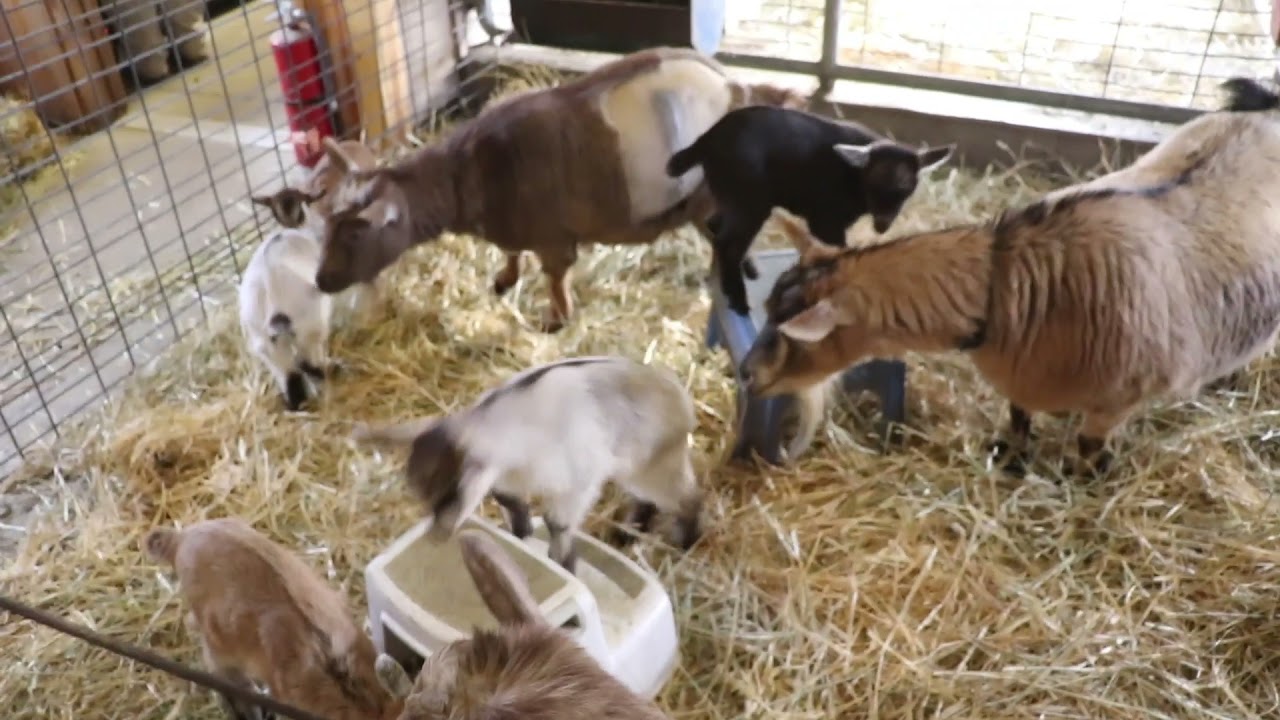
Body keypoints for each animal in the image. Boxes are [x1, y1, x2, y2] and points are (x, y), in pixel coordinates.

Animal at [311, 46, 807, 333]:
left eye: (356, 232)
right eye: (326, 226)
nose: (321, 281)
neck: (474, 172)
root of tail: (736, 85)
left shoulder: (553, 237)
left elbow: (555, 276)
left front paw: (558, 318)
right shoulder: (515, 229)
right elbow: (510, 253)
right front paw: (504, 279)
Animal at [349, 355, 704, 573]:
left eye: (451, 492)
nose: (439, 531)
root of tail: (680, 396)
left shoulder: (578, 484)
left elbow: (558, 523)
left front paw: (564, 565)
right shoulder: (505, 478)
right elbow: (510, 503)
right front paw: (522, 535)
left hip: (655, 465)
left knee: (688, 497)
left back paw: (687, 541)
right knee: (650, 499)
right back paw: (629, 534)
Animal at [665, 105, 955, 316]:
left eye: (907, 189)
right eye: (873, 185)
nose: (882, 224)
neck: (852, 177)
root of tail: (705, 141)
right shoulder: (825, 220)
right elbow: (835, 251)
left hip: (731, 196)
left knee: (716, 226)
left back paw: (747, 270)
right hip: (749, 200)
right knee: (728, 242)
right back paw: (738, 299)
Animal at [738, 76, 1280, 477]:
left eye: (796, 335)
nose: (745, 374)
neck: (1018, 283)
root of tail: (1265, 106)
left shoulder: (1119, 399)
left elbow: (1089, 445)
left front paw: (1087, 480)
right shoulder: (1022, 377)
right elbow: (1019, 418)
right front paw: (1012, 460)